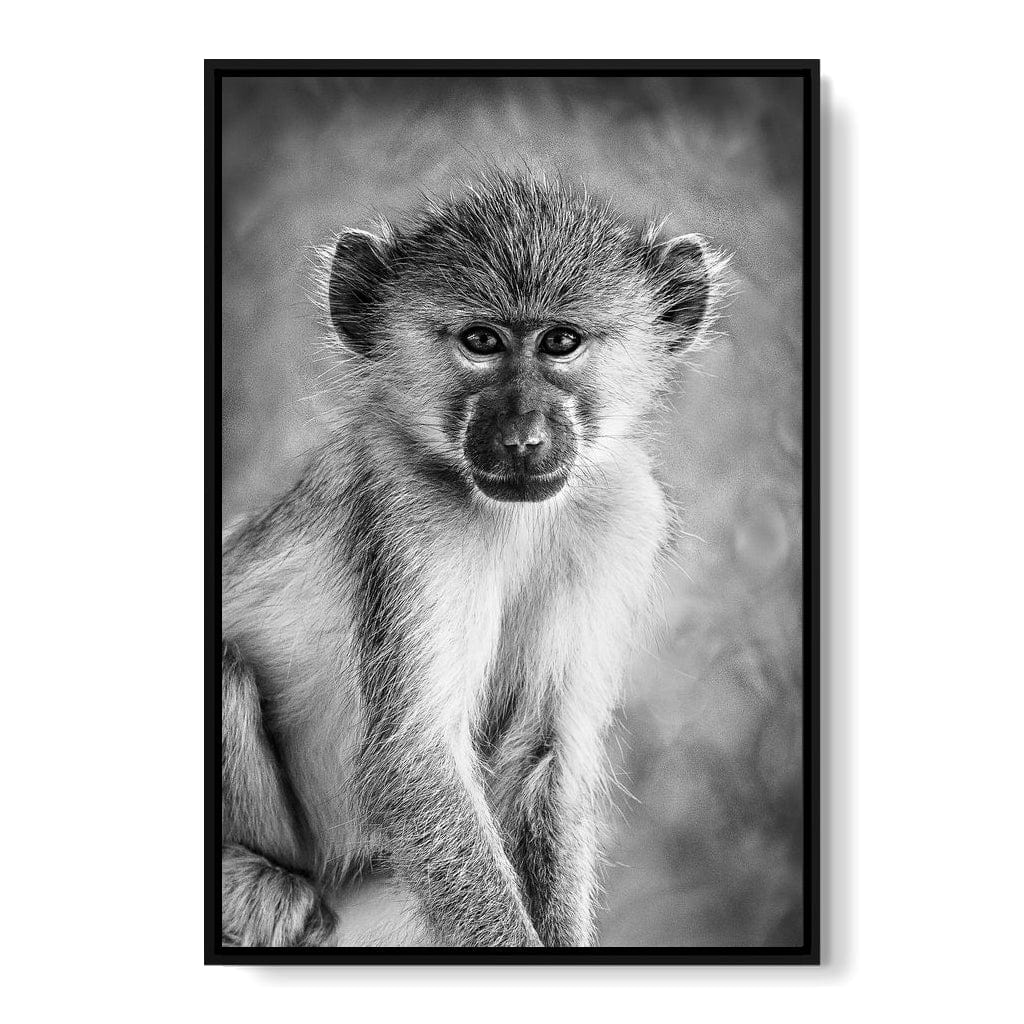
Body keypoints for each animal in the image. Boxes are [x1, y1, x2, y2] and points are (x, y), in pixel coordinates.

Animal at [221, 172, 723, 947]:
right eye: (481, 341)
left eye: (561, 341)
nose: (523, 437)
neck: (518, 519)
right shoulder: (413, 513)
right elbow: (417, 763)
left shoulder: (623, 514)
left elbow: (548, 751)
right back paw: (258, 877)